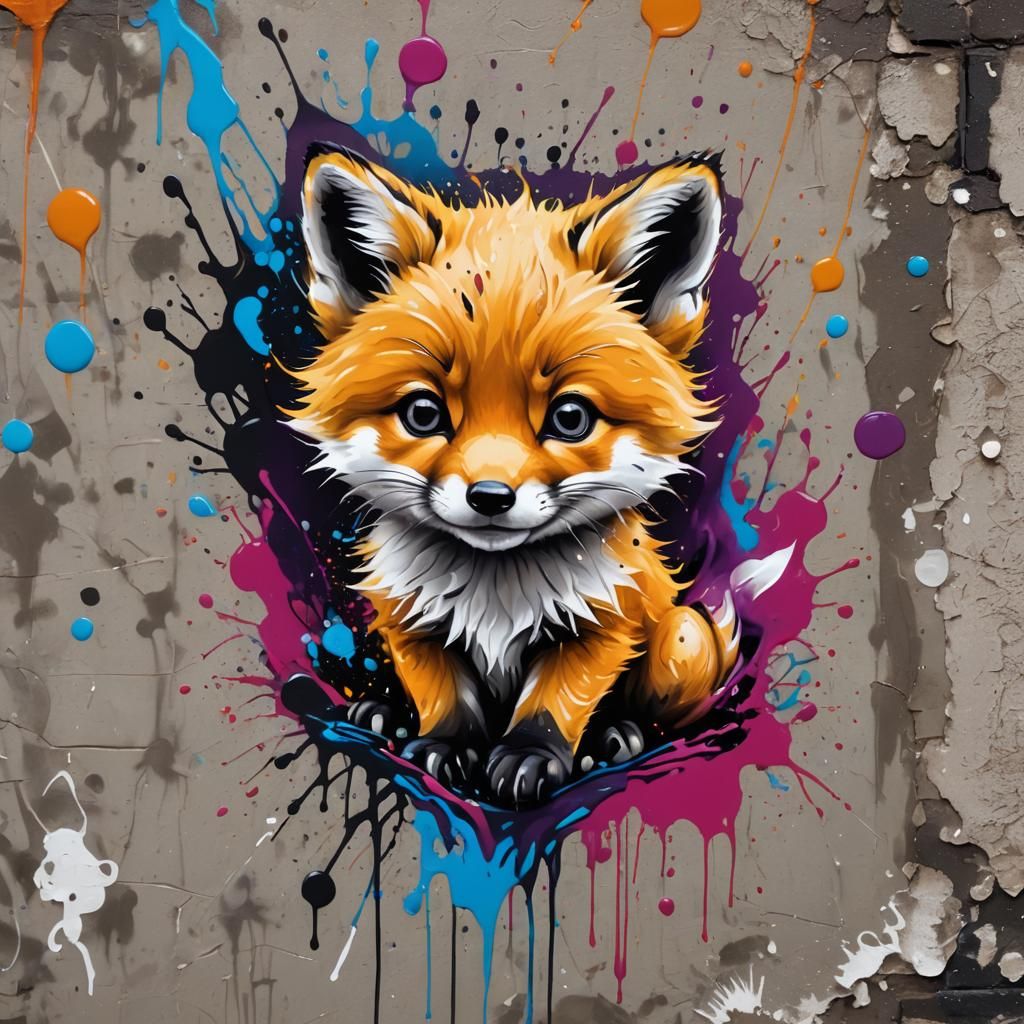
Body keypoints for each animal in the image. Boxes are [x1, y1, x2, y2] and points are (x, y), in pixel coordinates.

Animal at [286, 146, 740, 805]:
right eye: (423, 414)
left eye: (570, 418)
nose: (491, 497)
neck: (495, 595)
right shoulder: (411, 620)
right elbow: (443, 697)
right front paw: (447, 747)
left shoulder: (600, 623)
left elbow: (555, 703)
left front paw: (531, 756)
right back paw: (383, 714)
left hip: (684, 636)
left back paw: (617, 737)